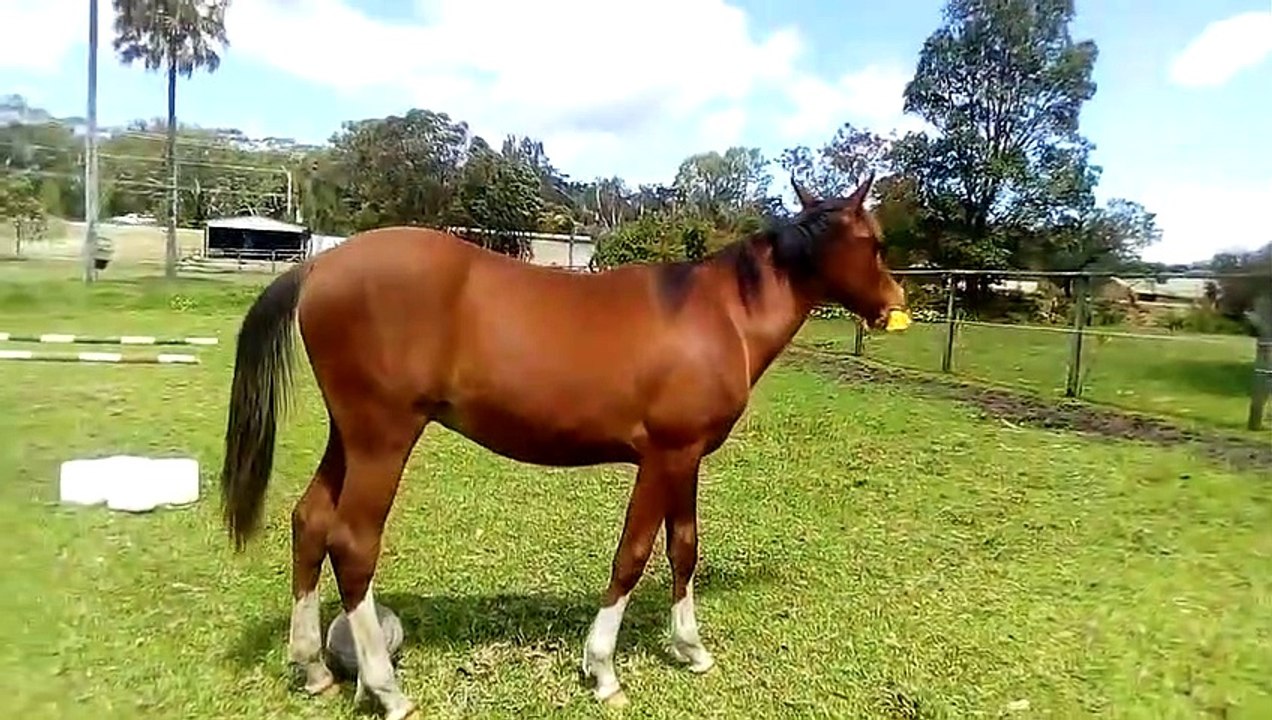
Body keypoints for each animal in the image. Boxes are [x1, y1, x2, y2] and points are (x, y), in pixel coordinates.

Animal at [218, 174, 909, 719]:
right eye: (874, 242)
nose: (896, 304)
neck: (718, 315)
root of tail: (319, 265)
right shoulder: (662, 457)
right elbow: (632, 556)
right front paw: (602, 671)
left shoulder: (686, 459)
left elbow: (683, 550)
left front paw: (691, 649)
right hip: (383, 439)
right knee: (352, 543)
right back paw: (387, 690)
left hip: (350, 437)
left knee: (310, 522)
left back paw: (313, 669)